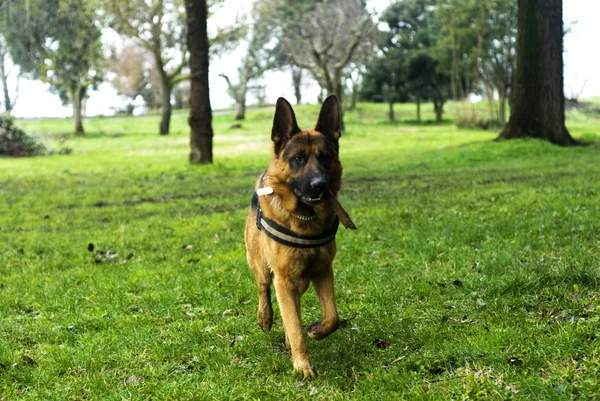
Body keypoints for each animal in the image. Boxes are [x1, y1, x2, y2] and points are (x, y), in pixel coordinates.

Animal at [246, 94, 344, 376]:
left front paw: (317, 331)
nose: (319, 185)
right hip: (261, 265)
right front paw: (303, 366)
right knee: (263, 288)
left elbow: (332, 317)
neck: (305, 221)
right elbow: (293, 323)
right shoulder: (284, 278)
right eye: (298, 158)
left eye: (325, 157)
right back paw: (265, 317)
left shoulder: (322, 271)